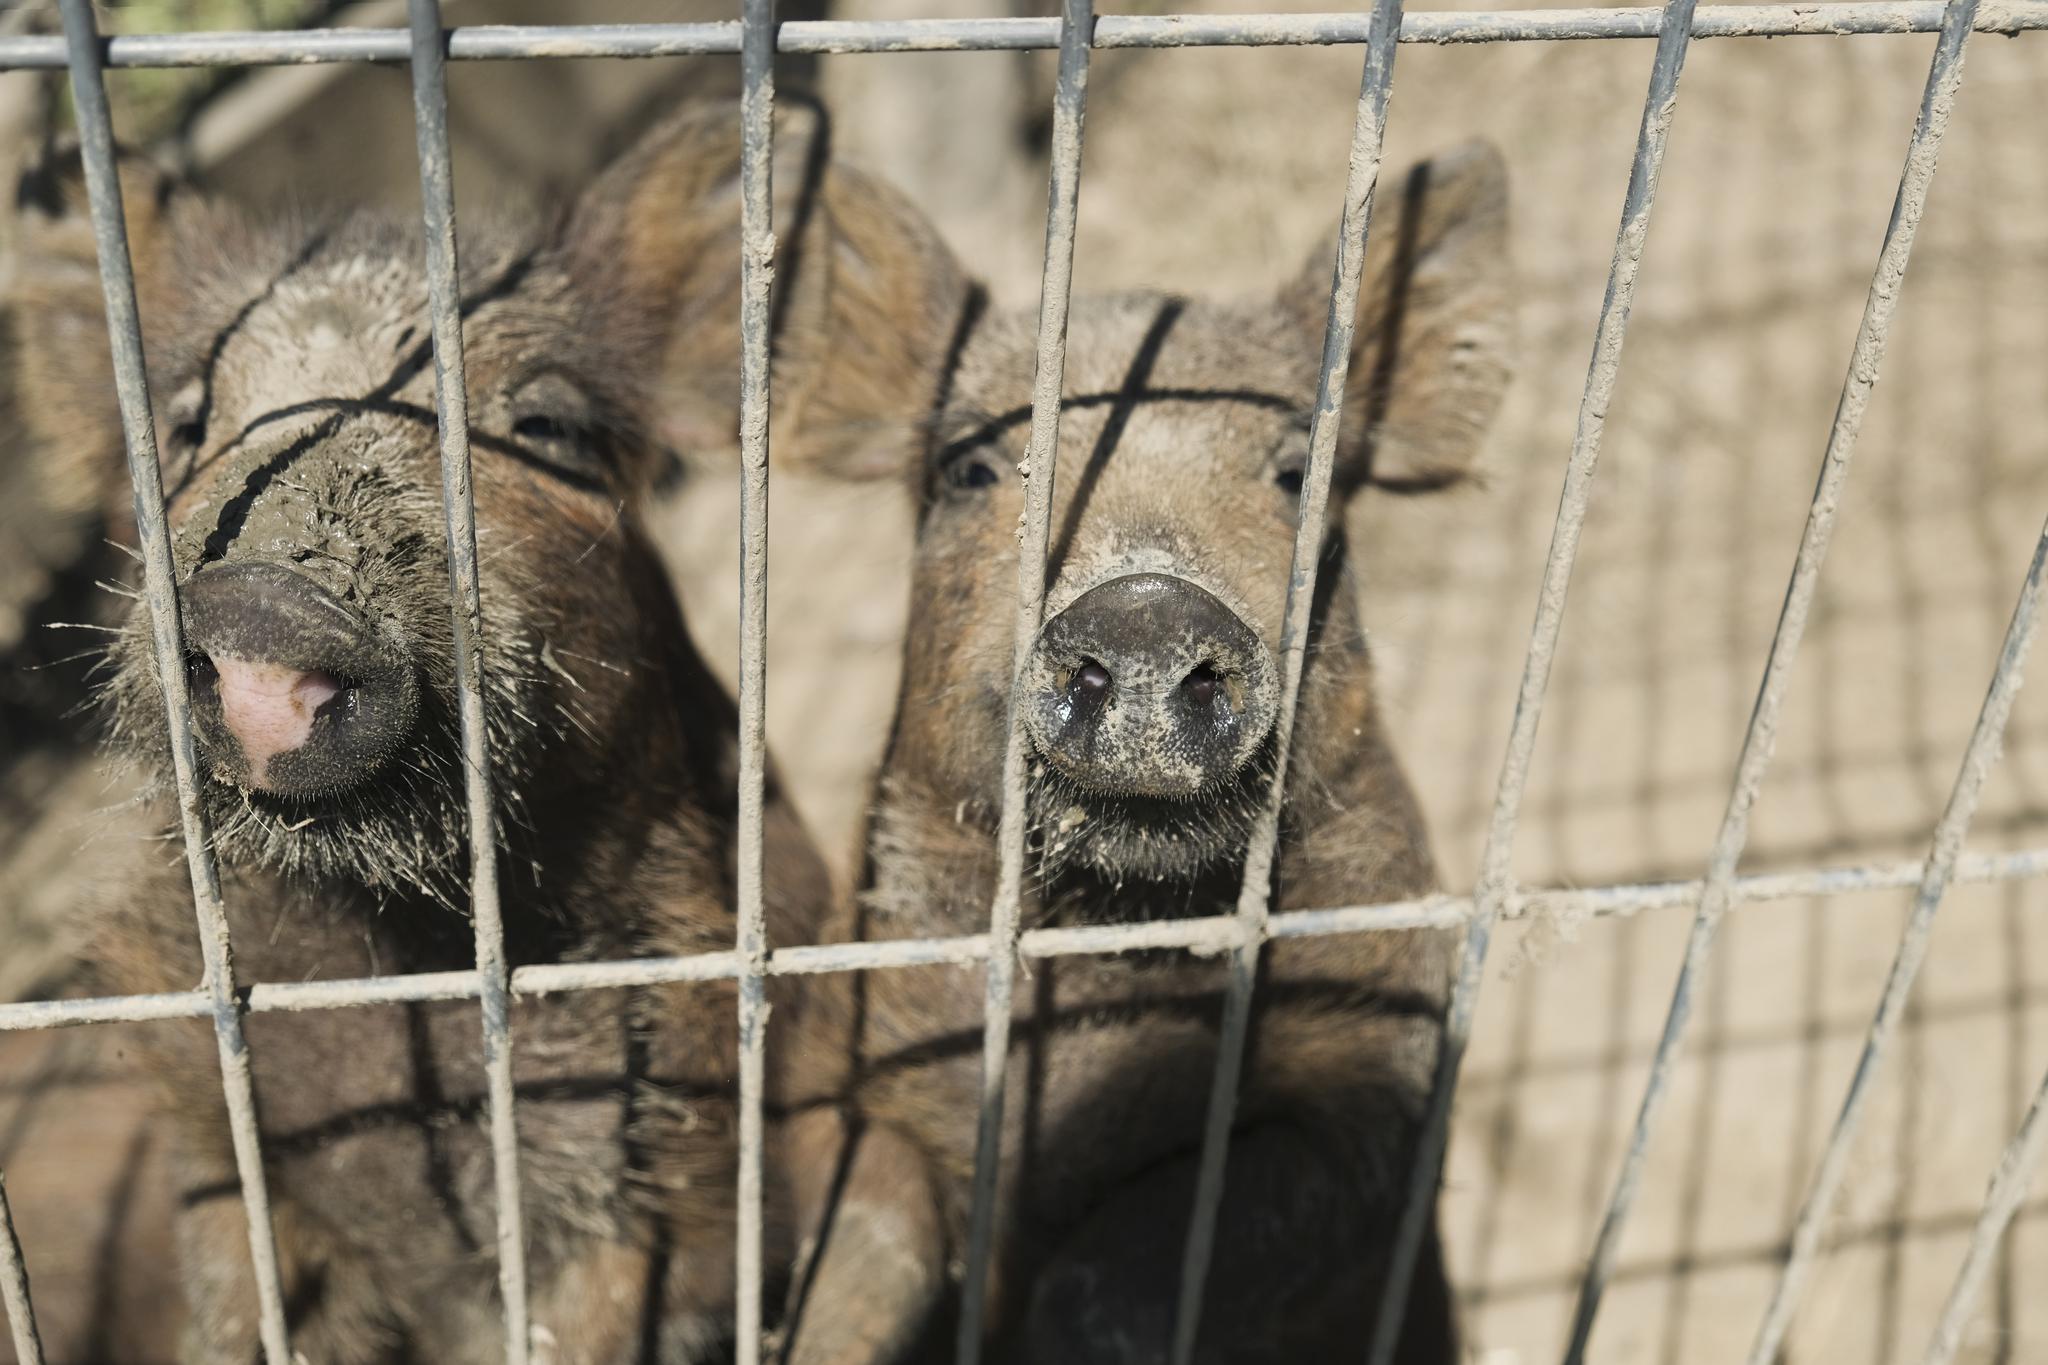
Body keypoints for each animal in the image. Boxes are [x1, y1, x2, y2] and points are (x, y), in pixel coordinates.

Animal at [8, 101, 827, 1358]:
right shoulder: (220, 1152)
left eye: (549, 426)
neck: (402, 953)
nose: (266, 596)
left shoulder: (665, 1146)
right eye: (188, 426)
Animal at [774, 136, 1515, 1358]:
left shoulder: (1387, 1059)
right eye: (968, 472)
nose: (1146, 606)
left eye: (1295, 470)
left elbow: (1142, 1258)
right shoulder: (845, 1040)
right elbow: (859, 1236)